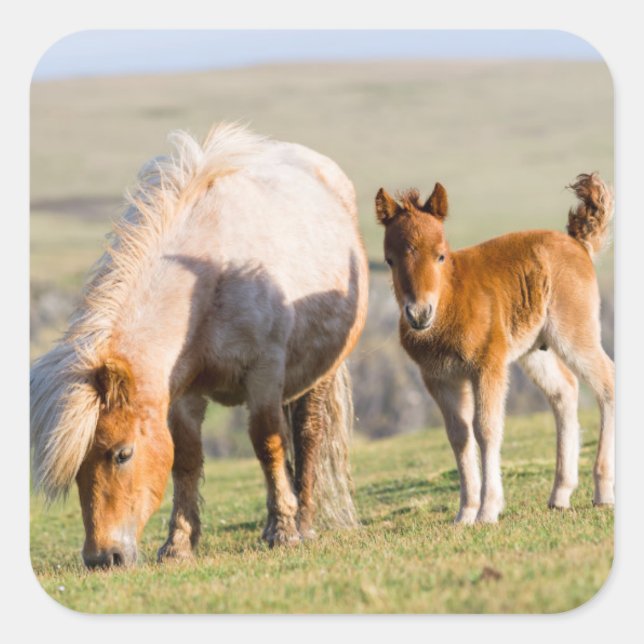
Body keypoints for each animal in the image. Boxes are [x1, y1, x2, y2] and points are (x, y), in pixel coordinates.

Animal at [30, 123, 369, 567]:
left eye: (122, 454)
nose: (103, 558)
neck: (208, 278)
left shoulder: (264, 372)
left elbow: (268, 444)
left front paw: (283, 530)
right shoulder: (182, 394)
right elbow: (186, 459)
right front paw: (178, 544)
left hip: (319, 373)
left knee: (308, 436)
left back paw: (304, 523)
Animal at [375, 173, 614, 524]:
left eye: (441, 255)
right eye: (389, 260)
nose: (419, 314)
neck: (452, 301)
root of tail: (577, 244)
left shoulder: (487, 365)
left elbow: (486, 428)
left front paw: (487, 510)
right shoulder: (438, 377)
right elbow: (458, 436)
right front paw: (465, 513)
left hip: (574, 333)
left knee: (607, 382)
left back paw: (603, 491)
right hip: (535, 350)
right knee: (565, 391)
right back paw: (560, 493)